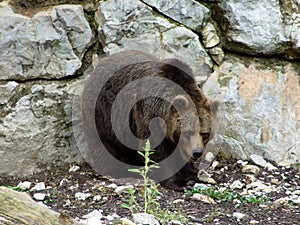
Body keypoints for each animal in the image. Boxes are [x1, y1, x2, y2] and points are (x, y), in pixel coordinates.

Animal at [89, 50, 218, 190]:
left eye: (205, 133)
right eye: (188, 132)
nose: (197, 152)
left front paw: (190, 173)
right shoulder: (148, 114)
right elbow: (154, 148)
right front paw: (176, 181)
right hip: (107, 112)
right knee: (108, 144)